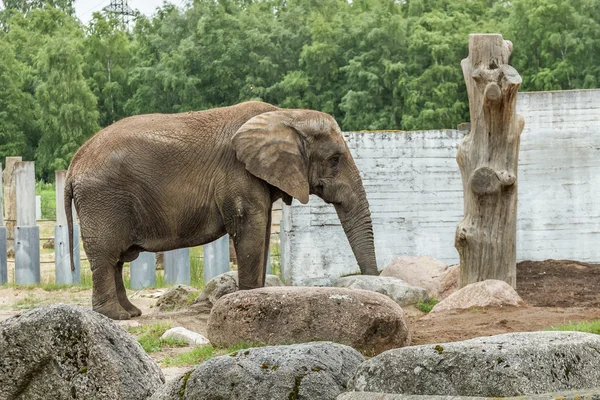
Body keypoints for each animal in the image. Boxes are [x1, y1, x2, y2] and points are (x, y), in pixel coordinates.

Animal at [65, 101, 380, 320]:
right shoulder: (238, 173)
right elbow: (250, 228)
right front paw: (250, 300)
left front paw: (261, 296)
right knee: (107, 256)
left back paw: (131, 313)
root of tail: (74, 163)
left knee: (116, 259)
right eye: (335, 159)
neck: (286, 115)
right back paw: (116, 316)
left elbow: (263, 229)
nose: (370, 282)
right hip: (103, 199)